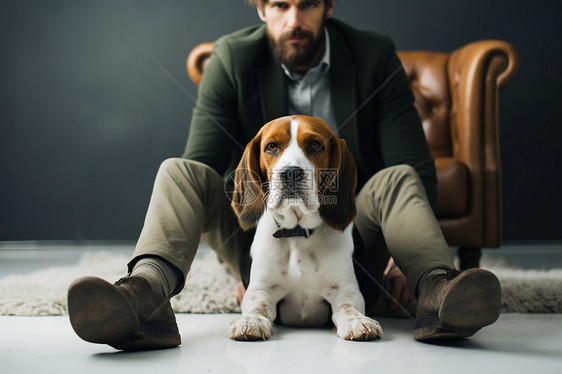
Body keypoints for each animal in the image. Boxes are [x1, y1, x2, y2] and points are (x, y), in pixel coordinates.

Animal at [228, 115, 380, 340]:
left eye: (315, 145)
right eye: (271, 146)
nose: (290, 173)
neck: (298, 233)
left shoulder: (345, 288)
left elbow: (347, 307)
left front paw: (358, 322)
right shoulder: (260, 288)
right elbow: (258, 305)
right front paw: (250, 321)